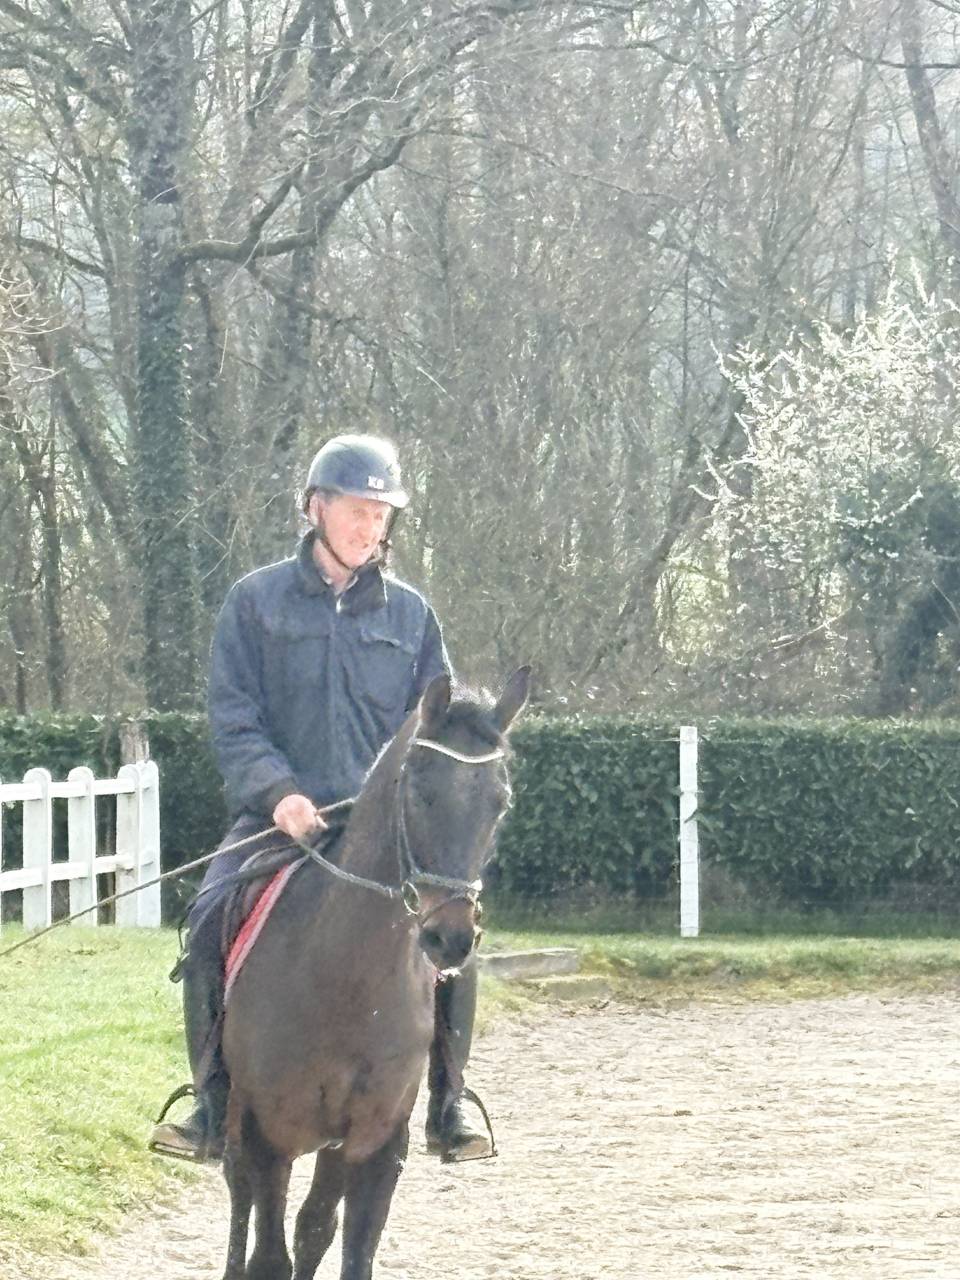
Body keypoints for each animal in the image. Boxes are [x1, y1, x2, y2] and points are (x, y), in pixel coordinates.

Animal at [219, 666, 530, 1280]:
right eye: (419, 791)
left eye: (499, 803)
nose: (449, 938)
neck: (347, 983)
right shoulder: (268, 1141)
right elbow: (269, 1257)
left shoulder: (375, 1144)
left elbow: (342, 1245)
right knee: (243, 1209)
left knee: (314, 1226)